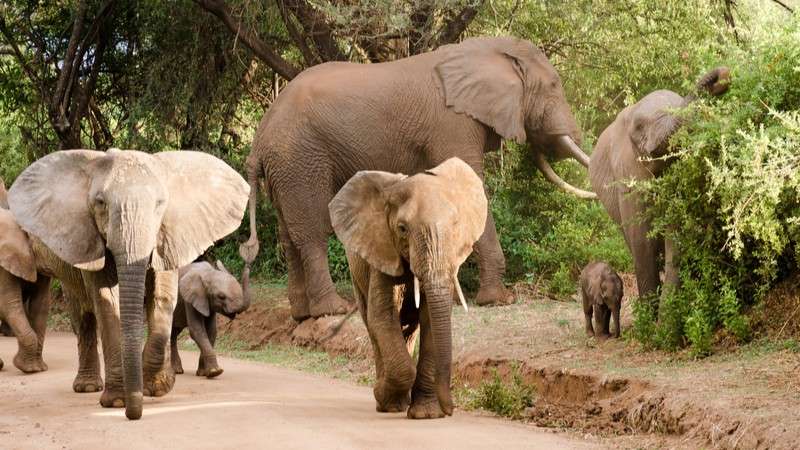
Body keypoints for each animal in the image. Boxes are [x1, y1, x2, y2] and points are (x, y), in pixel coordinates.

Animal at [8, 148, 249, 420]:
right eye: (100, 202)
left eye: (160, 204)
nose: (133, 415)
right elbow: (107, 302)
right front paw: (116, 402)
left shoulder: (169, 239)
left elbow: (162, 297)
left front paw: (157, 387)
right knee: (83, 318)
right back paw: (88, 387)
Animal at [243, 36, 595, 322]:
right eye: (554, 86)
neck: (485, 50)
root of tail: (259, 140)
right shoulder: (453, 124)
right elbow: (468, 188)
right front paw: (500, 301)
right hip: (299, 159)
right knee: (311, 232)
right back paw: (334, 310)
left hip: (284, 168)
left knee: (288, 235)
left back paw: (302, 315)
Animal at [329, 158, 487, 419]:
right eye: (402, 228)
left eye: (455, 225)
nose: (450, 410)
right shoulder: (380, 251)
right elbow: (382, 317)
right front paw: (382, 395)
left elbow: (431, 320)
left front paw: (427, 415)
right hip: (357, 276)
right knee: (373, 327)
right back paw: (389, 404)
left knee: (410, 330)